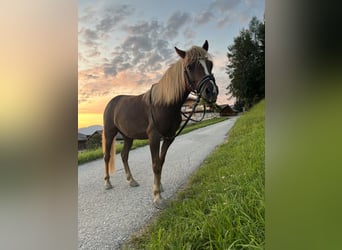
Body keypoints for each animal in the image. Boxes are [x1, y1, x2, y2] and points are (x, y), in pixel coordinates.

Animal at [103, 40, 218, 209]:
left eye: (210, 64)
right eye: (190, 66)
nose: (211, 91)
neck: (164, 103)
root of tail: (112, 102)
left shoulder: (169, 137)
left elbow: (161, 162)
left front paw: (159, 187)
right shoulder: (154, 138)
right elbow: (155, 164)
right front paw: (157, 197)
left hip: (128, 136)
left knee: (124, 156)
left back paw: (131, 180)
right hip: (110, 133)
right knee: (106, 157)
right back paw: (107, 183)